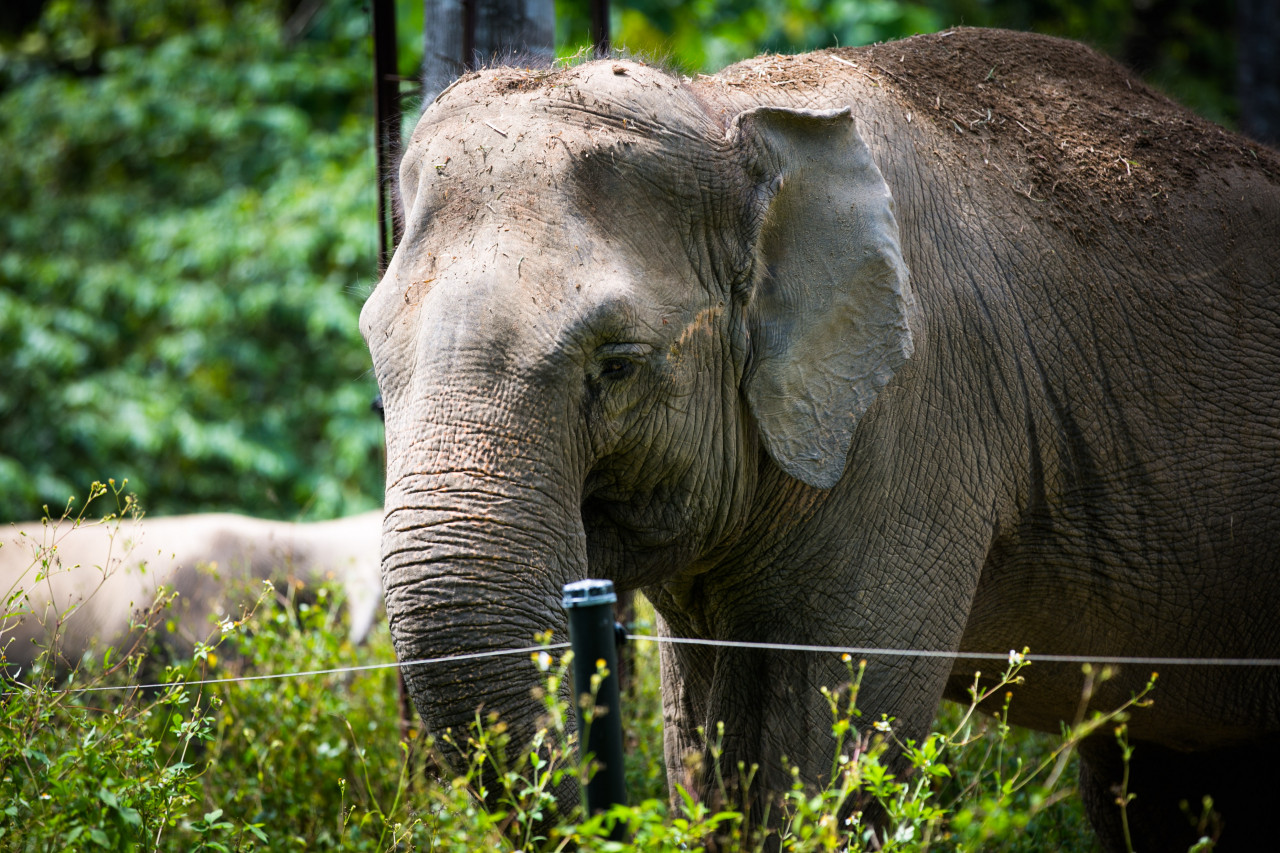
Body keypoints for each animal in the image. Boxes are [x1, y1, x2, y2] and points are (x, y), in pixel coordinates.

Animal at [360, 26, 1280, 850]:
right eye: (376, 355)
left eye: (617, 366)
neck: (728, 111)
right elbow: (704, 745)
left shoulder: (922, 419)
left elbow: (833, 734)